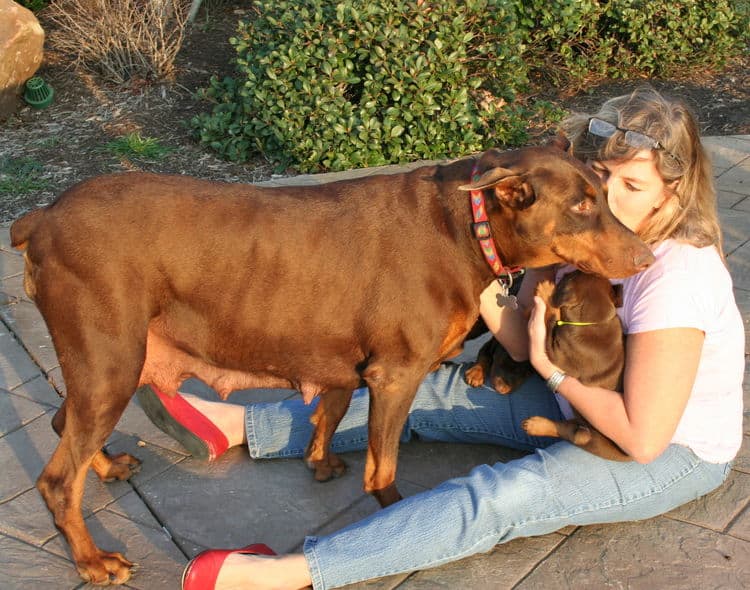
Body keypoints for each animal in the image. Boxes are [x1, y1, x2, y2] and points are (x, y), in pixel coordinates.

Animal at [8, 136, 652, 584]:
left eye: (605, 194)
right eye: (581, 205)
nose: (646, 256)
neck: (468, 229)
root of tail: (42, 218)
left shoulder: (344, 360)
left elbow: (331, 411)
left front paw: (319, 461)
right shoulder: (396, 375)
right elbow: (383, 469)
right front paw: (394, 516)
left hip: (104, 366)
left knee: (64, 423)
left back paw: (109, 466)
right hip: (111, 362)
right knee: (57, 477)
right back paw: (93, 560)